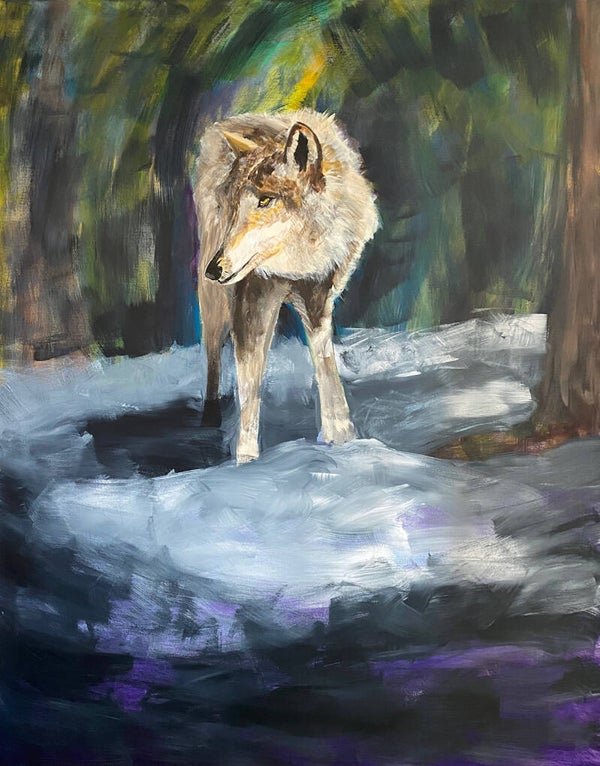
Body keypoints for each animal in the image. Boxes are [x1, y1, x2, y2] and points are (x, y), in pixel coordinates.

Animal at [193, 109, 379, 463]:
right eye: (234, 207)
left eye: (266, 200)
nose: (214, 268)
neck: (294, 265)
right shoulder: (251, 300)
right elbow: (249, 387)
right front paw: (246, 461)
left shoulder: (317, 297)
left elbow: (325, 364)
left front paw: (341, 437)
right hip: (216, 304)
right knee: (212, 353)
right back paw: (210, 414)